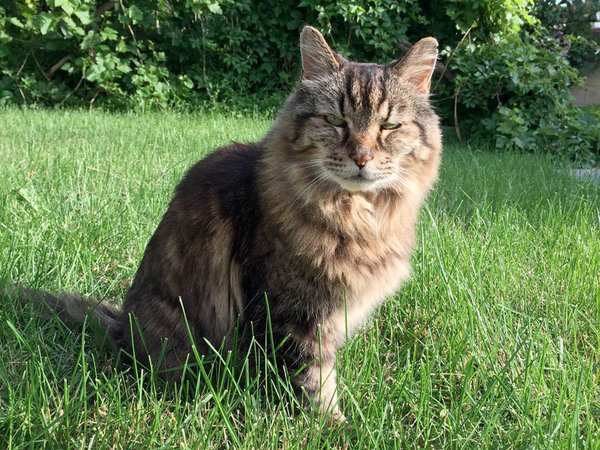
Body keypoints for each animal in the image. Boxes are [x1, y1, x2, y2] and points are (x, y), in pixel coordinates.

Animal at [4, 26, 440, 422]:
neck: (355, 215)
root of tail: (122, 326)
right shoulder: (289, 312)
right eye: (335, 120)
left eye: (389, 127)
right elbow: (308, 381)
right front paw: (331, 428)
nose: (361, 157)